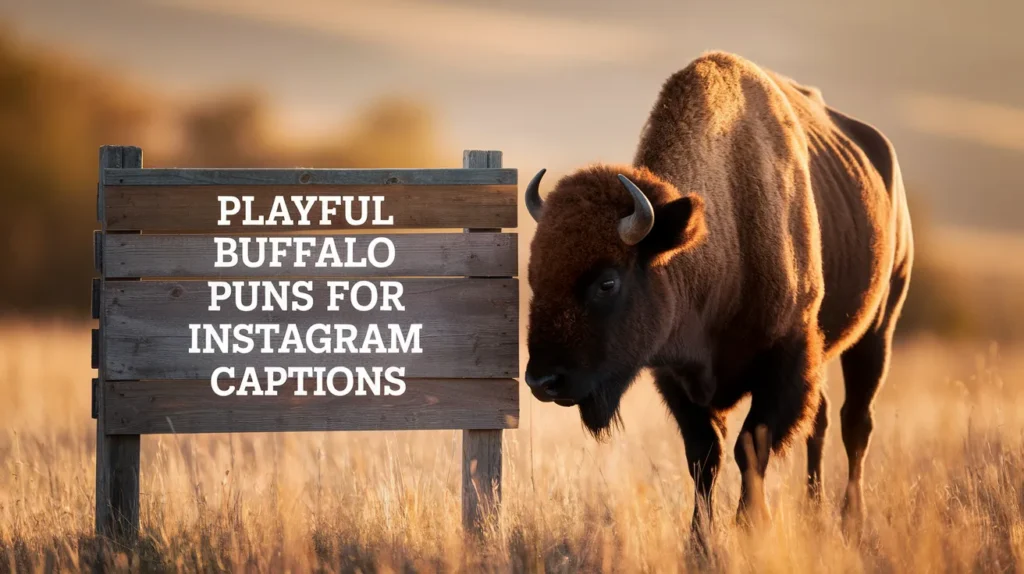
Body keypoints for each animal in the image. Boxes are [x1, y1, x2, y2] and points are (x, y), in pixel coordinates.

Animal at [523, 52, 913, 539]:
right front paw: (700, 539)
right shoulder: (677, 379)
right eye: (534, 274)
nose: (543, 381)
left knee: (855, 422)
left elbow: (750, 446)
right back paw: (814, 510)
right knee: (820, 421)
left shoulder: (785, 362)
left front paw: (751, 527)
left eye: (607, 282)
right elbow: (705, 457)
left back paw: (849, 519)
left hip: (878, 330)